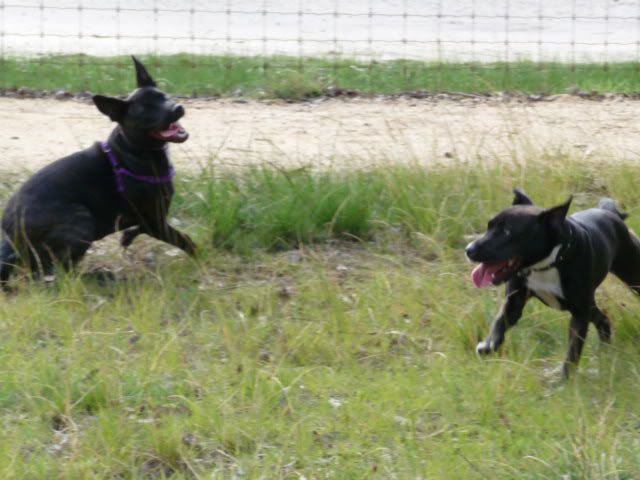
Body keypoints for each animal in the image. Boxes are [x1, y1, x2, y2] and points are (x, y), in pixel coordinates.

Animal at [0, 56, 196, 284]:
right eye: (145, 111)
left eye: (163, 96)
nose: (177, 108)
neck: (133, 150)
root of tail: (10, 235)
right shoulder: (155, 220)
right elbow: (184, 240)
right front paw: (201, 257)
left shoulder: (150, 220)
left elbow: (136, 229)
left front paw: (127, 237)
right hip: (82, 219)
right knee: (60, 271)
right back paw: (100, 276)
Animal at [464, 189, 640, 376]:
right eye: (489, 226)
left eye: (507, 233)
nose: (469, 249)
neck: (545, 264)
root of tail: (611, 213)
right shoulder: (514, 301)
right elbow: (500, 322)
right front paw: (488, 345)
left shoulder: (579, 315)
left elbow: (573, 351)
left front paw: (564, 379)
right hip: (588, 305)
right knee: (602, 318)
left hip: (630, 275)